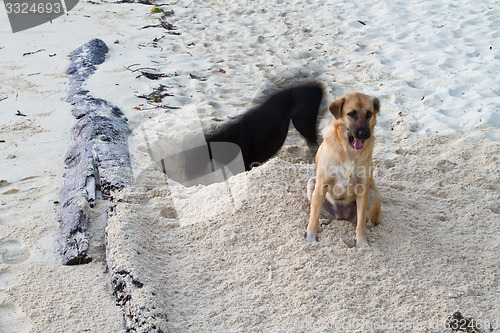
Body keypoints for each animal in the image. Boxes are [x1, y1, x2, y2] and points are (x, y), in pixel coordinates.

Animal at [304, 92, 382, 248]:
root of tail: (341, 216)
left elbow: (361, 225)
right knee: (322, 213)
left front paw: (362, 243)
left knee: (367, 222)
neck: (349, 152)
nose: (364, 134)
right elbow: (313, 216)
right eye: (351, 114)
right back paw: (325, 221)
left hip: (372, 193)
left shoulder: (363, 189)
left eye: (369, 114)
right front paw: (311, 237)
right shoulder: (321, 185)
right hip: (312, 184)